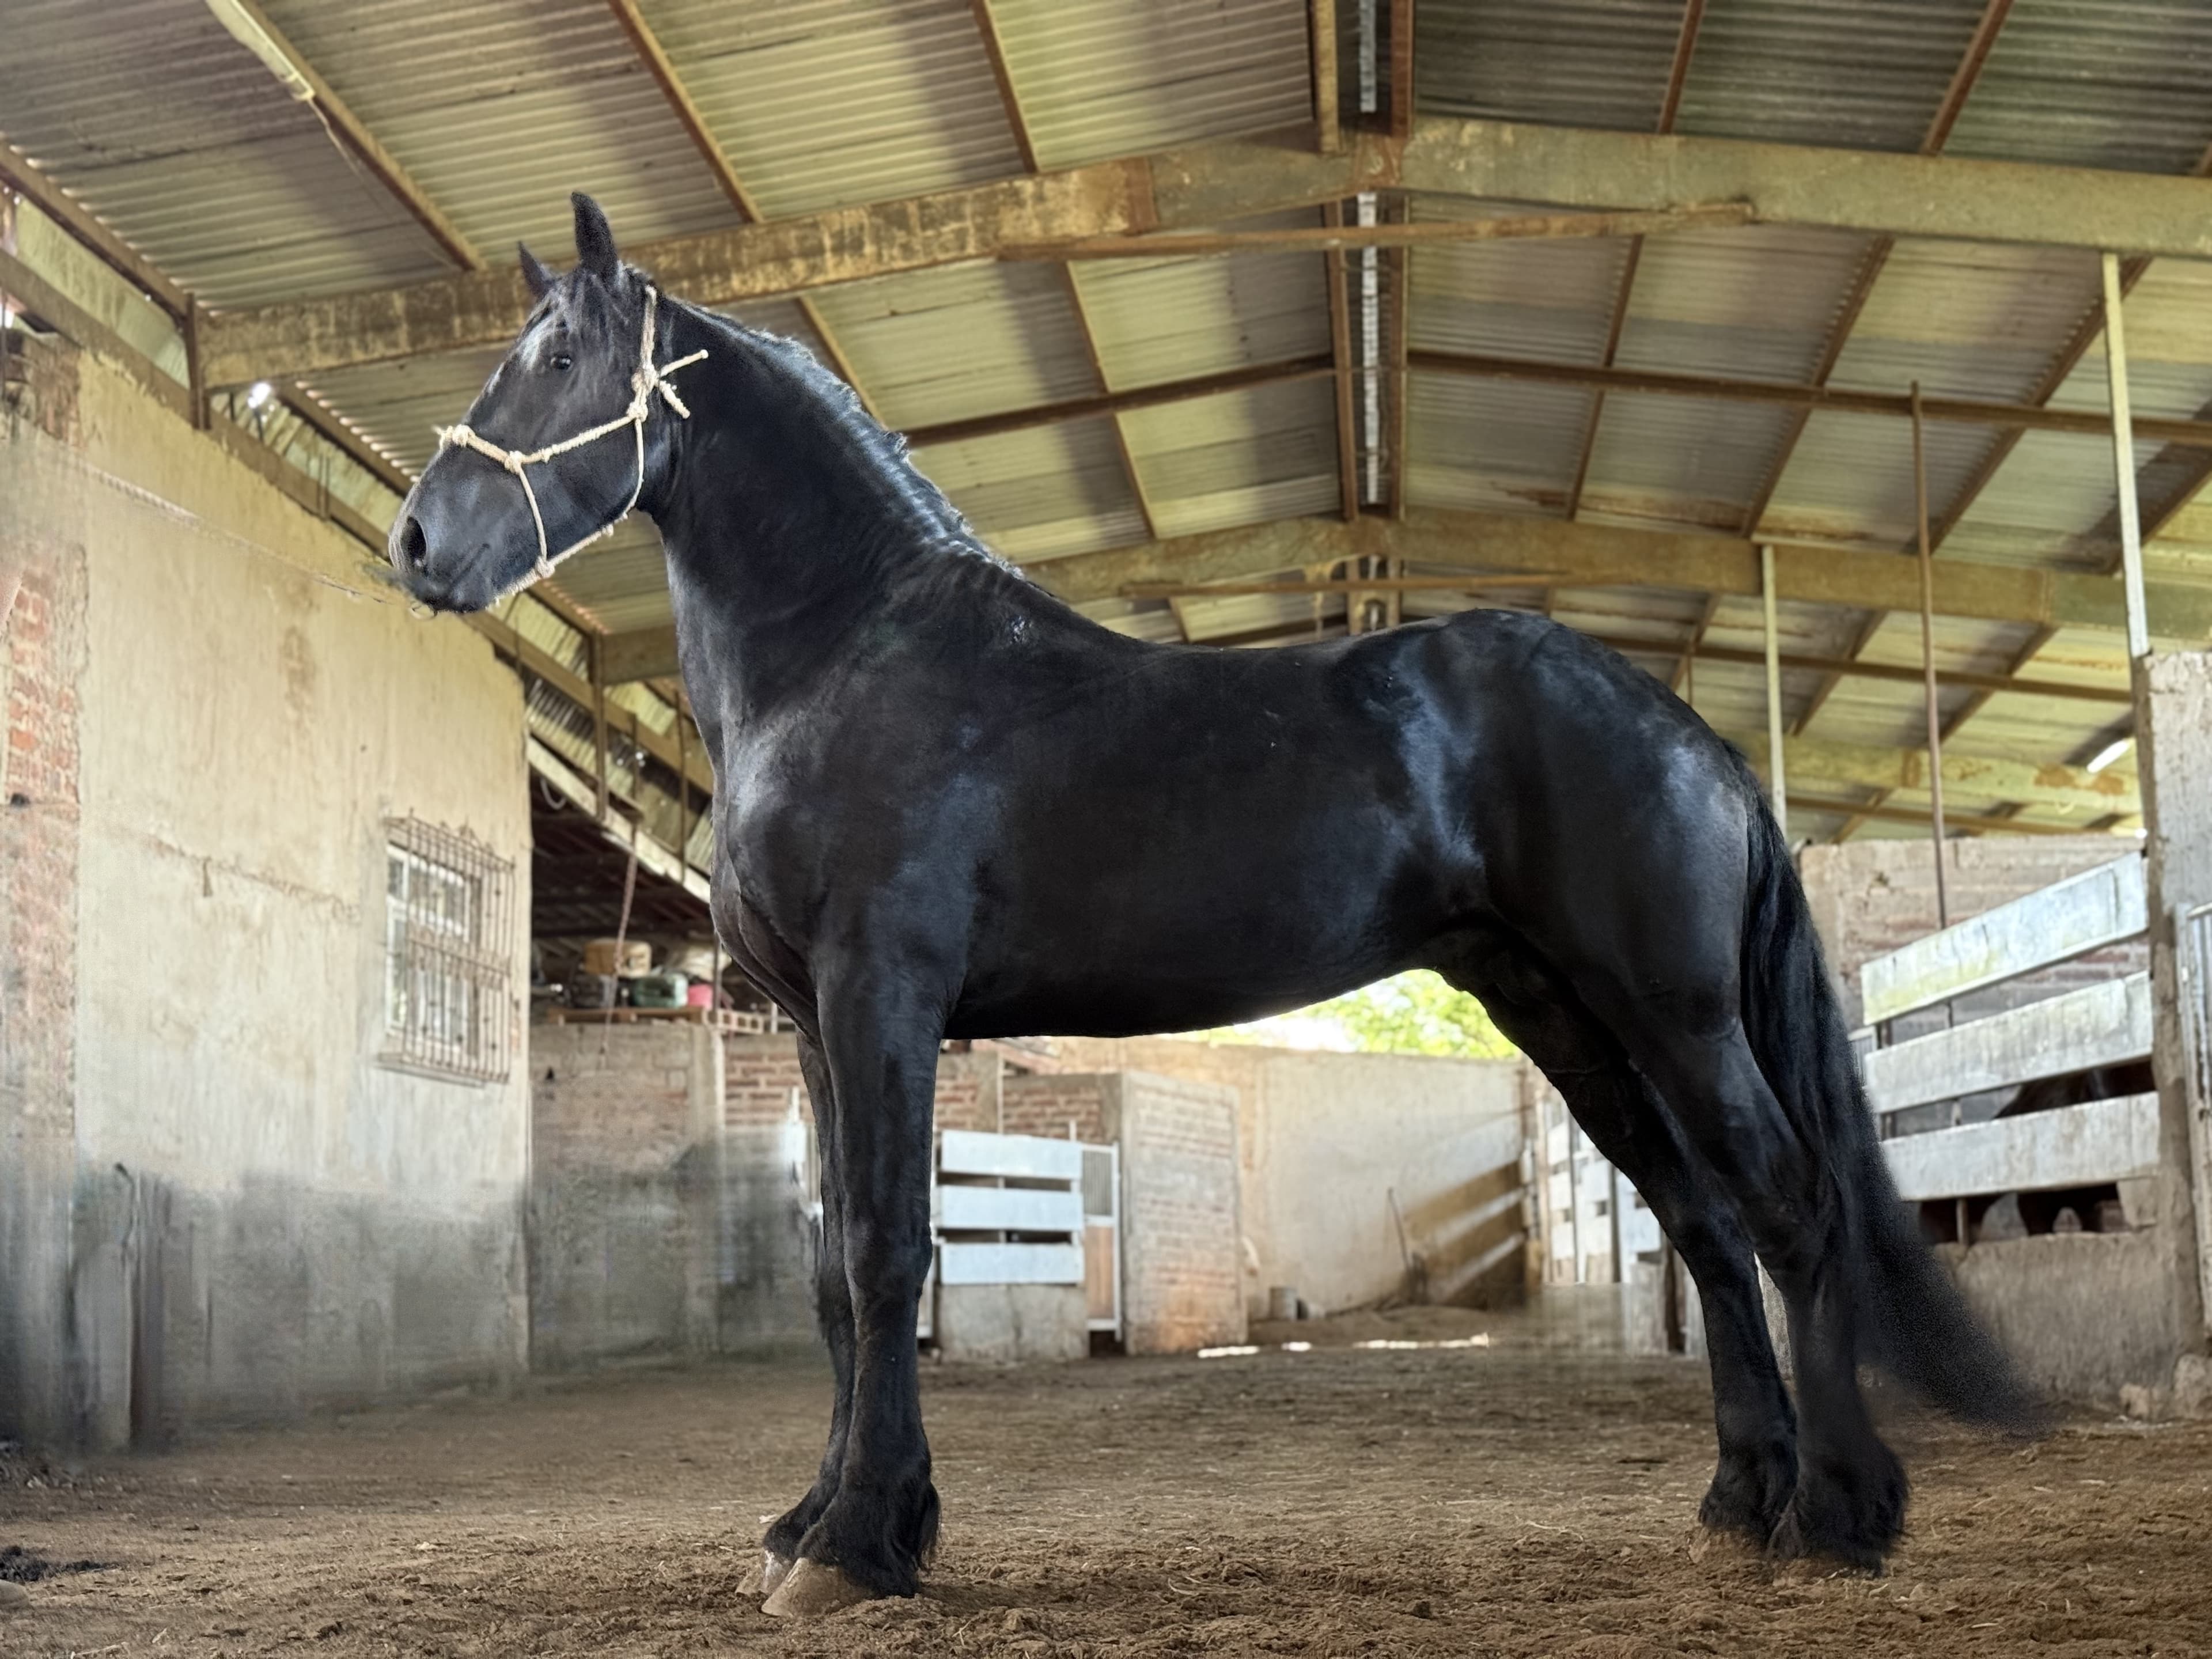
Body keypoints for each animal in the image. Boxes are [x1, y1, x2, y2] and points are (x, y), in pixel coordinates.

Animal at [389, 195, 2039, 1617]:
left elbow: (886, 1251)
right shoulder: (805, 1021)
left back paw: (1839, 1513)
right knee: (1699, 1219)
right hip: (1560, 1008)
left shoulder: (881, 996)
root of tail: (1684, 726)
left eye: (554, 361)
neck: (848, 654)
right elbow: (829, 1270)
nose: (416, 544)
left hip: (1671, 1009)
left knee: (1786, 1201)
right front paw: (817, 1525)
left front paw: (859, 1545)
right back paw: (1739, 1505)